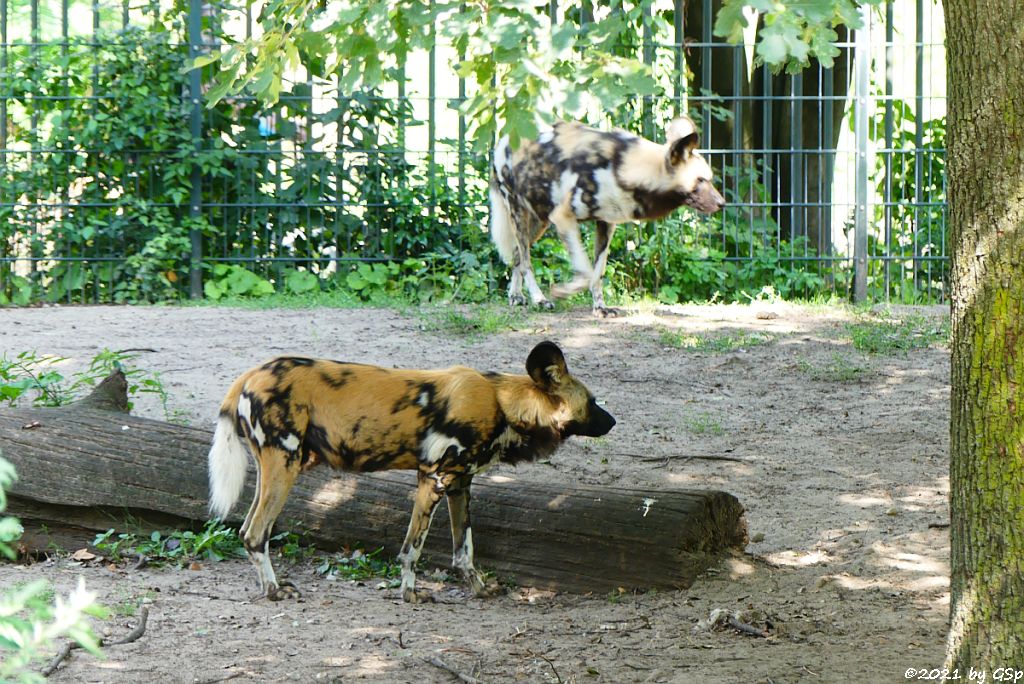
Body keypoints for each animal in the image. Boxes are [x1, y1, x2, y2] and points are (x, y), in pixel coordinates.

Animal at [203, 342, 610, 602]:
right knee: (255, 533)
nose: (613, 421)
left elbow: (465, 550)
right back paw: (274, 592)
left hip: (276, 468)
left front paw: (480, 589)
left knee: (246, 529)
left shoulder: (460, 485)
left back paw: (269, 587)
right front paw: (411, 593)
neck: (504, 405)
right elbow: (412, 549)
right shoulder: (434, 479)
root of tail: (247, 376)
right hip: (284, 466)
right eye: (593, 402)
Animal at [489, 118, 724, 317]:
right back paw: (539, 299)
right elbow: (585, 273)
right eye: (700, 180)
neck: (622, 168)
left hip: (540, 221)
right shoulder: (564, 217)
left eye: (710, 179)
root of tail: (505, 137)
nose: (722, 203)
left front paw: (600, 308)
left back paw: (516, 295)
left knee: (518, 255)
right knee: (526, 261)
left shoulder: (606, 224)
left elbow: (597, 274)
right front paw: (562, 292)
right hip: (520, 213)